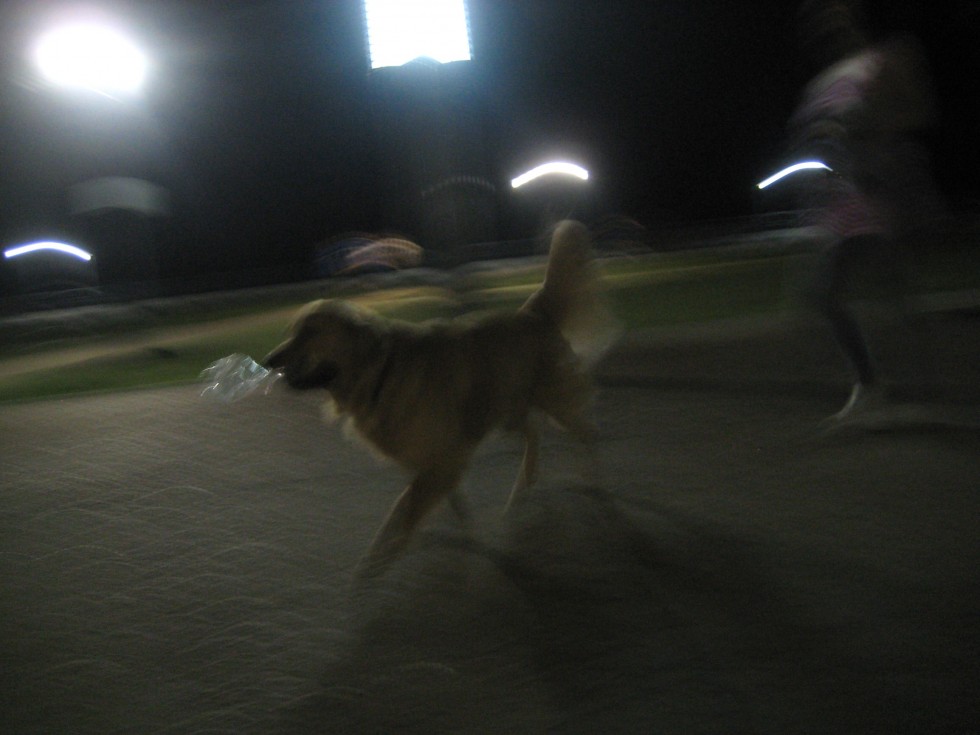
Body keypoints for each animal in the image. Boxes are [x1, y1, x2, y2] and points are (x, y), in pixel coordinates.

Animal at [264, 218, 616, 580]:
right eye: (293, 331)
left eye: (310, 333)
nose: (268, 360)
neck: (380, 372)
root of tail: (533, 311)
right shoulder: (436, 460)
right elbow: (415, 507)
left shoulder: (440, 460)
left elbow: (406, 513)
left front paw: (383, 560)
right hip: (503, 407)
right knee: (534, 432)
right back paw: (524, 486)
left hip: (553, 403)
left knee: (588, 434)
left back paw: (593, 482)